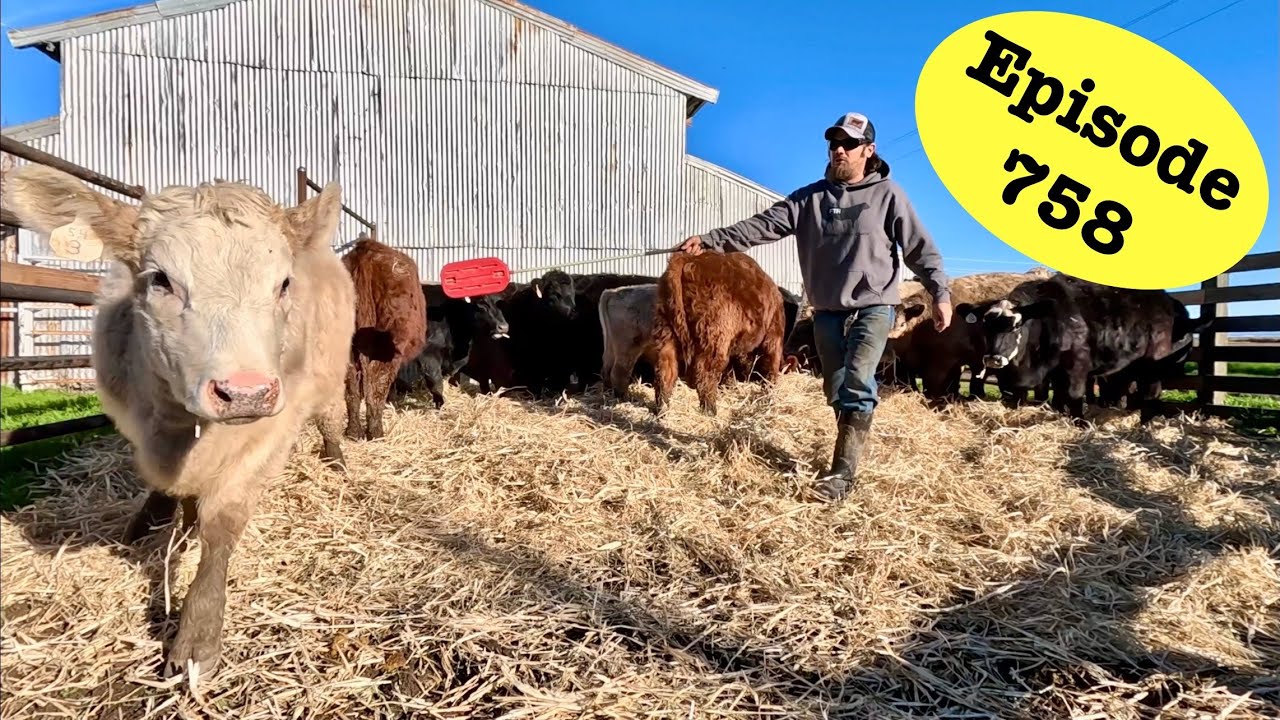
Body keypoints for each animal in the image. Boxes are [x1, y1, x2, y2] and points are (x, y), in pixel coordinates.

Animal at [3, 164, 356, 684]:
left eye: (284, 284)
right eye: (160, 280)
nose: (245, 391)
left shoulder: (269, 432)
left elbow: (221, 525)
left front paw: (198, 633)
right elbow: (170, 490)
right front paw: (155, 523)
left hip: (330, 375)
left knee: (331, 419)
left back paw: (337, 463)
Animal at [650, 251, 785, 416]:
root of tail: (689, 259)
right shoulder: (774, 337)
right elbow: (771, 367)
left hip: (666, 335)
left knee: (665, 374)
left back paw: (662, 411)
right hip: (713, 339)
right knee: (704, 375)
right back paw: (710, 410)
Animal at [962, 273, 1204, 423]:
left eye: (1016, 325)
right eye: (985, 325)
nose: (993, 359)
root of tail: (1168, 302)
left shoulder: (1077, 365)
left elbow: (1073, 395)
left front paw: (1080, 423)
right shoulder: (1055, 372)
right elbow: (1058, 397)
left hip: (1154, 365)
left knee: (1151, 393)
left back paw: (1143, 425)